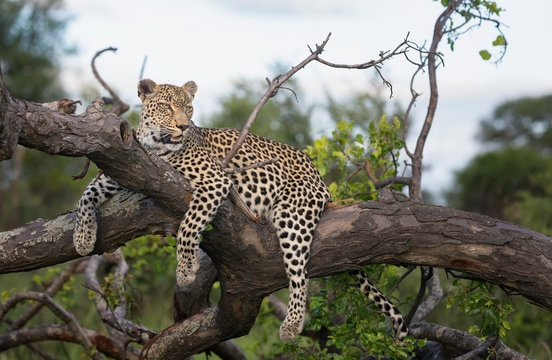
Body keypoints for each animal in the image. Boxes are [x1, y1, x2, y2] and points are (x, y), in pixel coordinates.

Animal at [72, 77, 410, 342]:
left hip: (292, 214)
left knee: (299, 274)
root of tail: (321, 180)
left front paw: (185, 269)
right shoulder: (121, 170)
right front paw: (82, 237)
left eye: (188, 107)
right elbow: (85, 195)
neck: (155, 144)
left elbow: (188, 225)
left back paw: (292, 325)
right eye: (167, 106)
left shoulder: (215, 181)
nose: (183, 125)